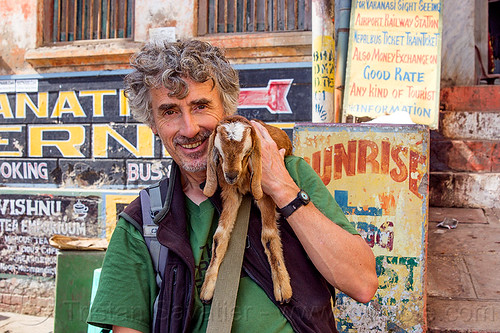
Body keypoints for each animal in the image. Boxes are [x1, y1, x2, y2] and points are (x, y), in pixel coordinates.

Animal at [199, 114, 292, 304]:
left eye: (247, 152)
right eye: (219, 152)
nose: (231, 175)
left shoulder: (264, 194)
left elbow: (269, 236)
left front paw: (282, 287)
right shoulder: (231, 193)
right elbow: (219, 236)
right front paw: (207, 287)